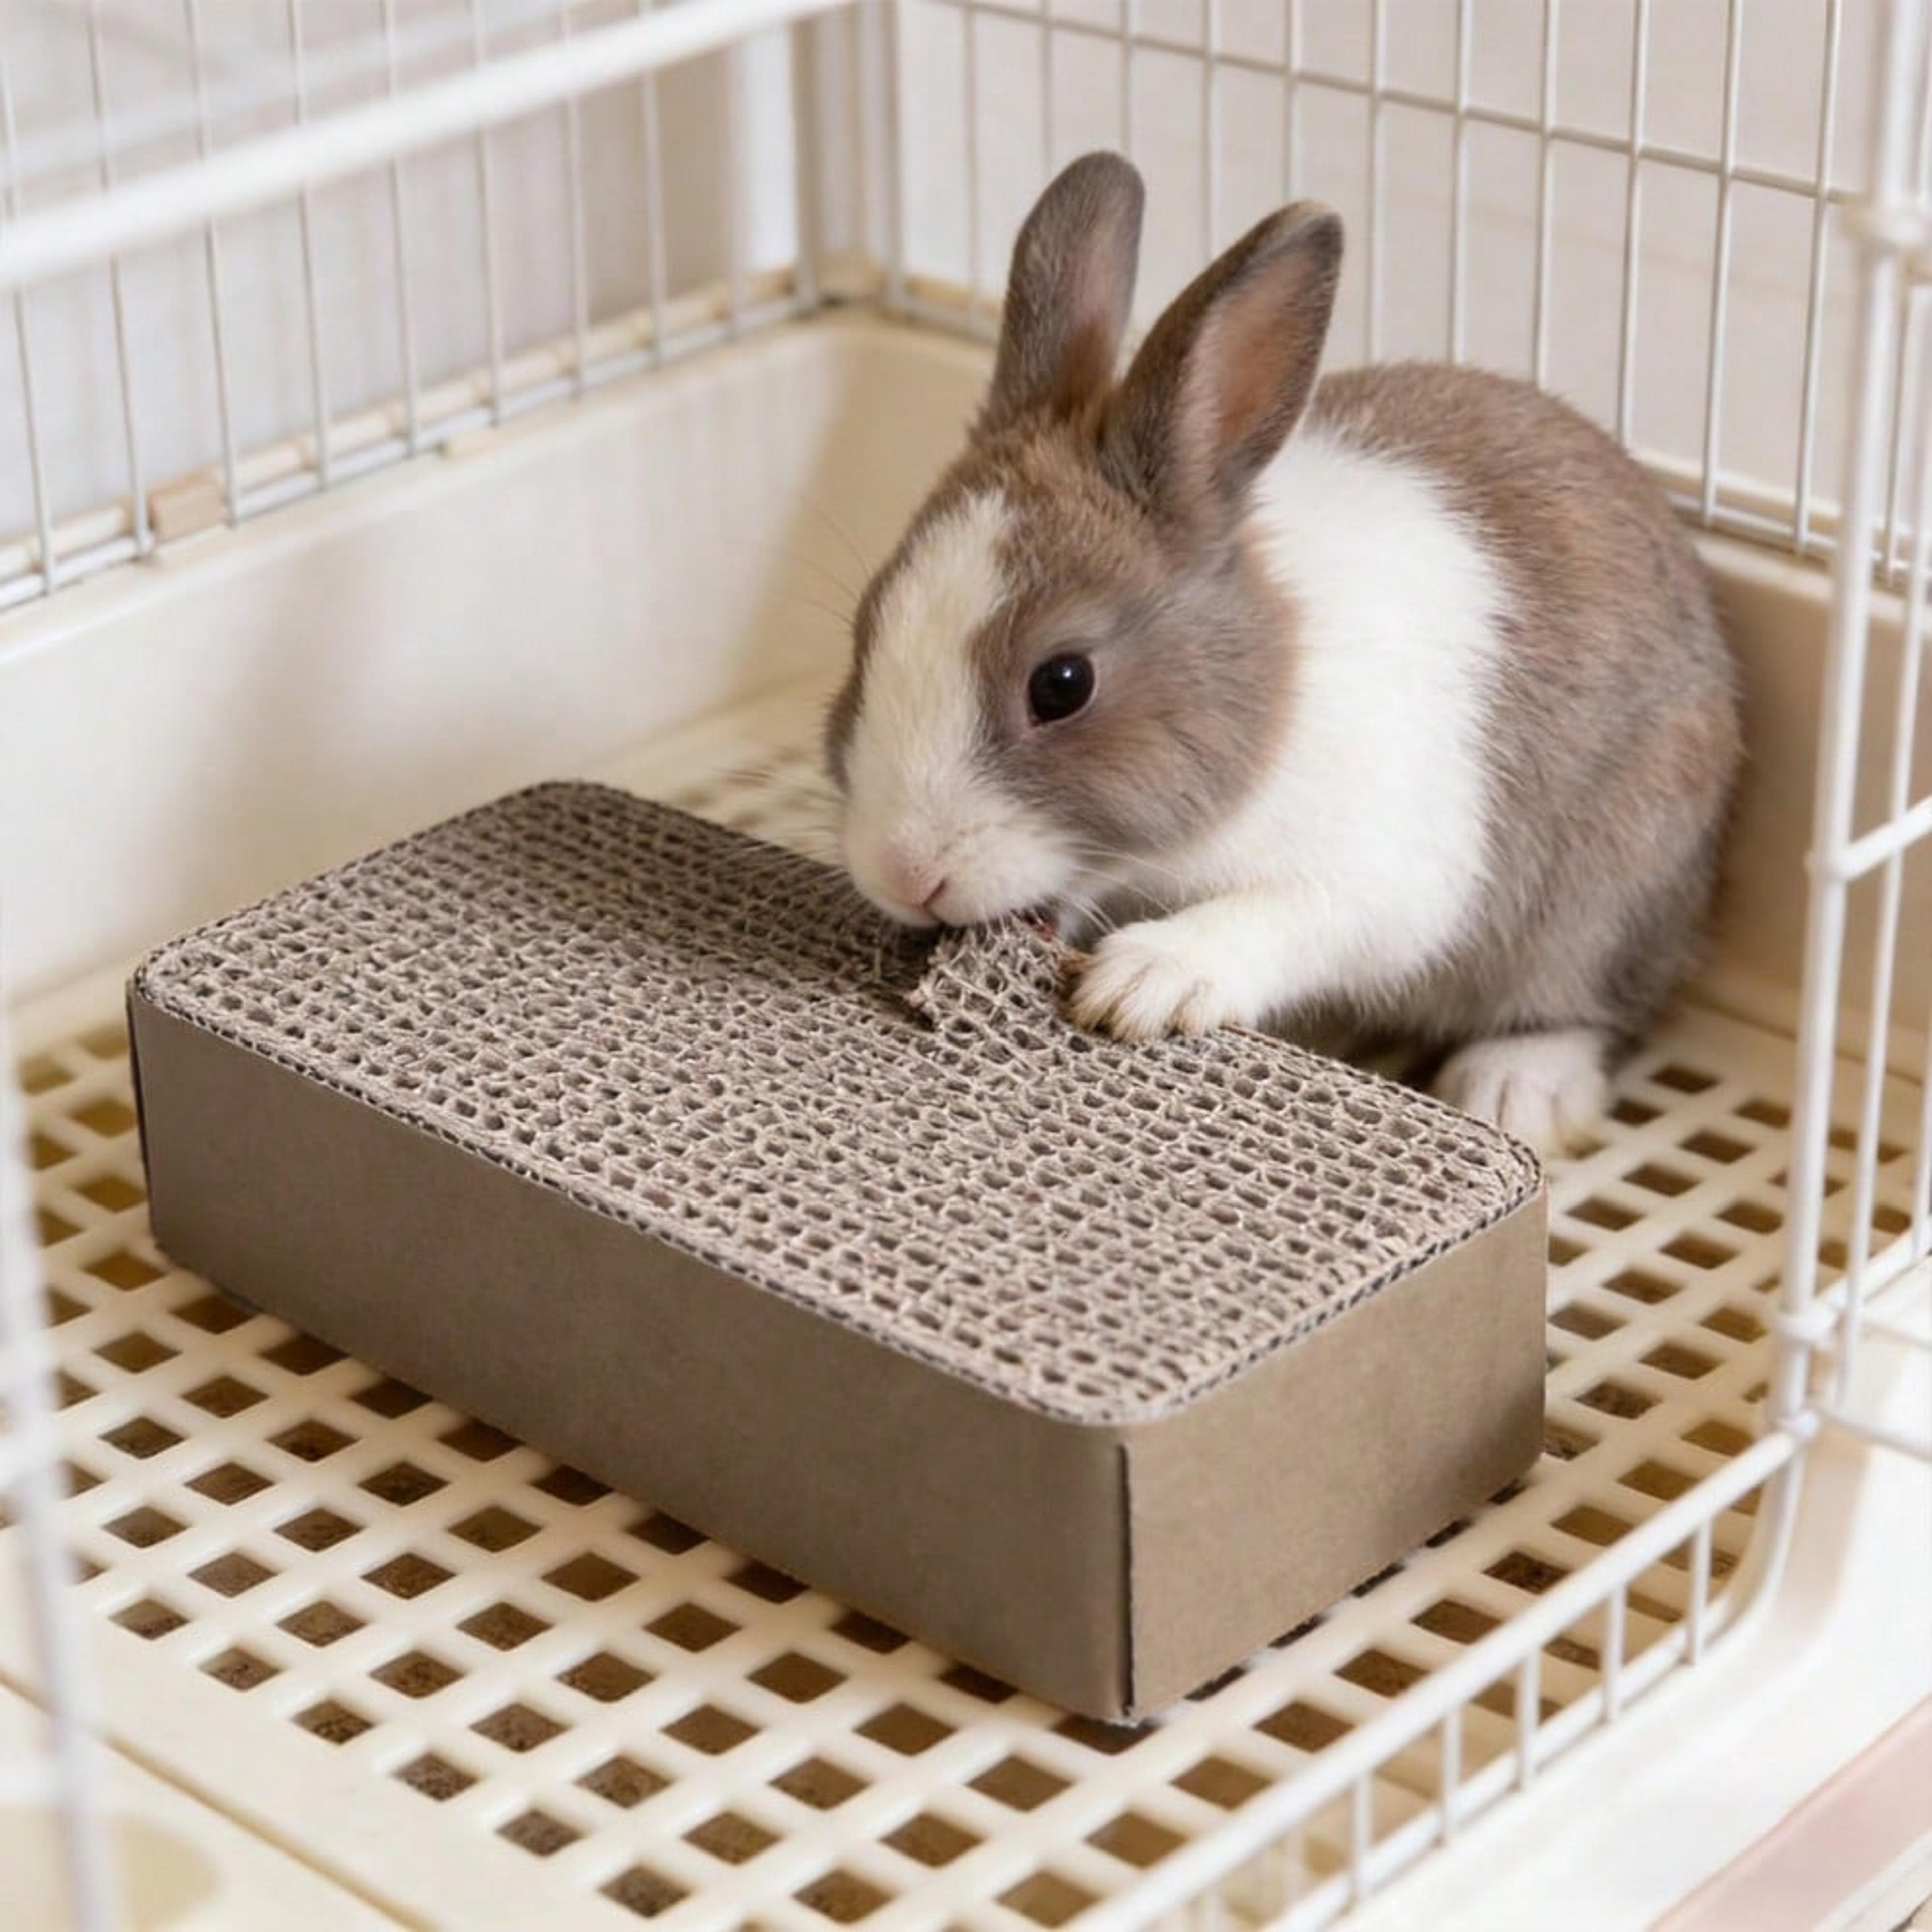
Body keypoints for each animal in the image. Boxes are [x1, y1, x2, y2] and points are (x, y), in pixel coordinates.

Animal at [824, 152, 1742, 1155]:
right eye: (866, 630)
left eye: (1062, 684)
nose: (907, 873)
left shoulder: (1381, 878)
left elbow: (1287, 916)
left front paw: (1144, 983)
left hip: (1605, 894)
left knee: (1586, 1005)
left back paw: (1514, 1090)